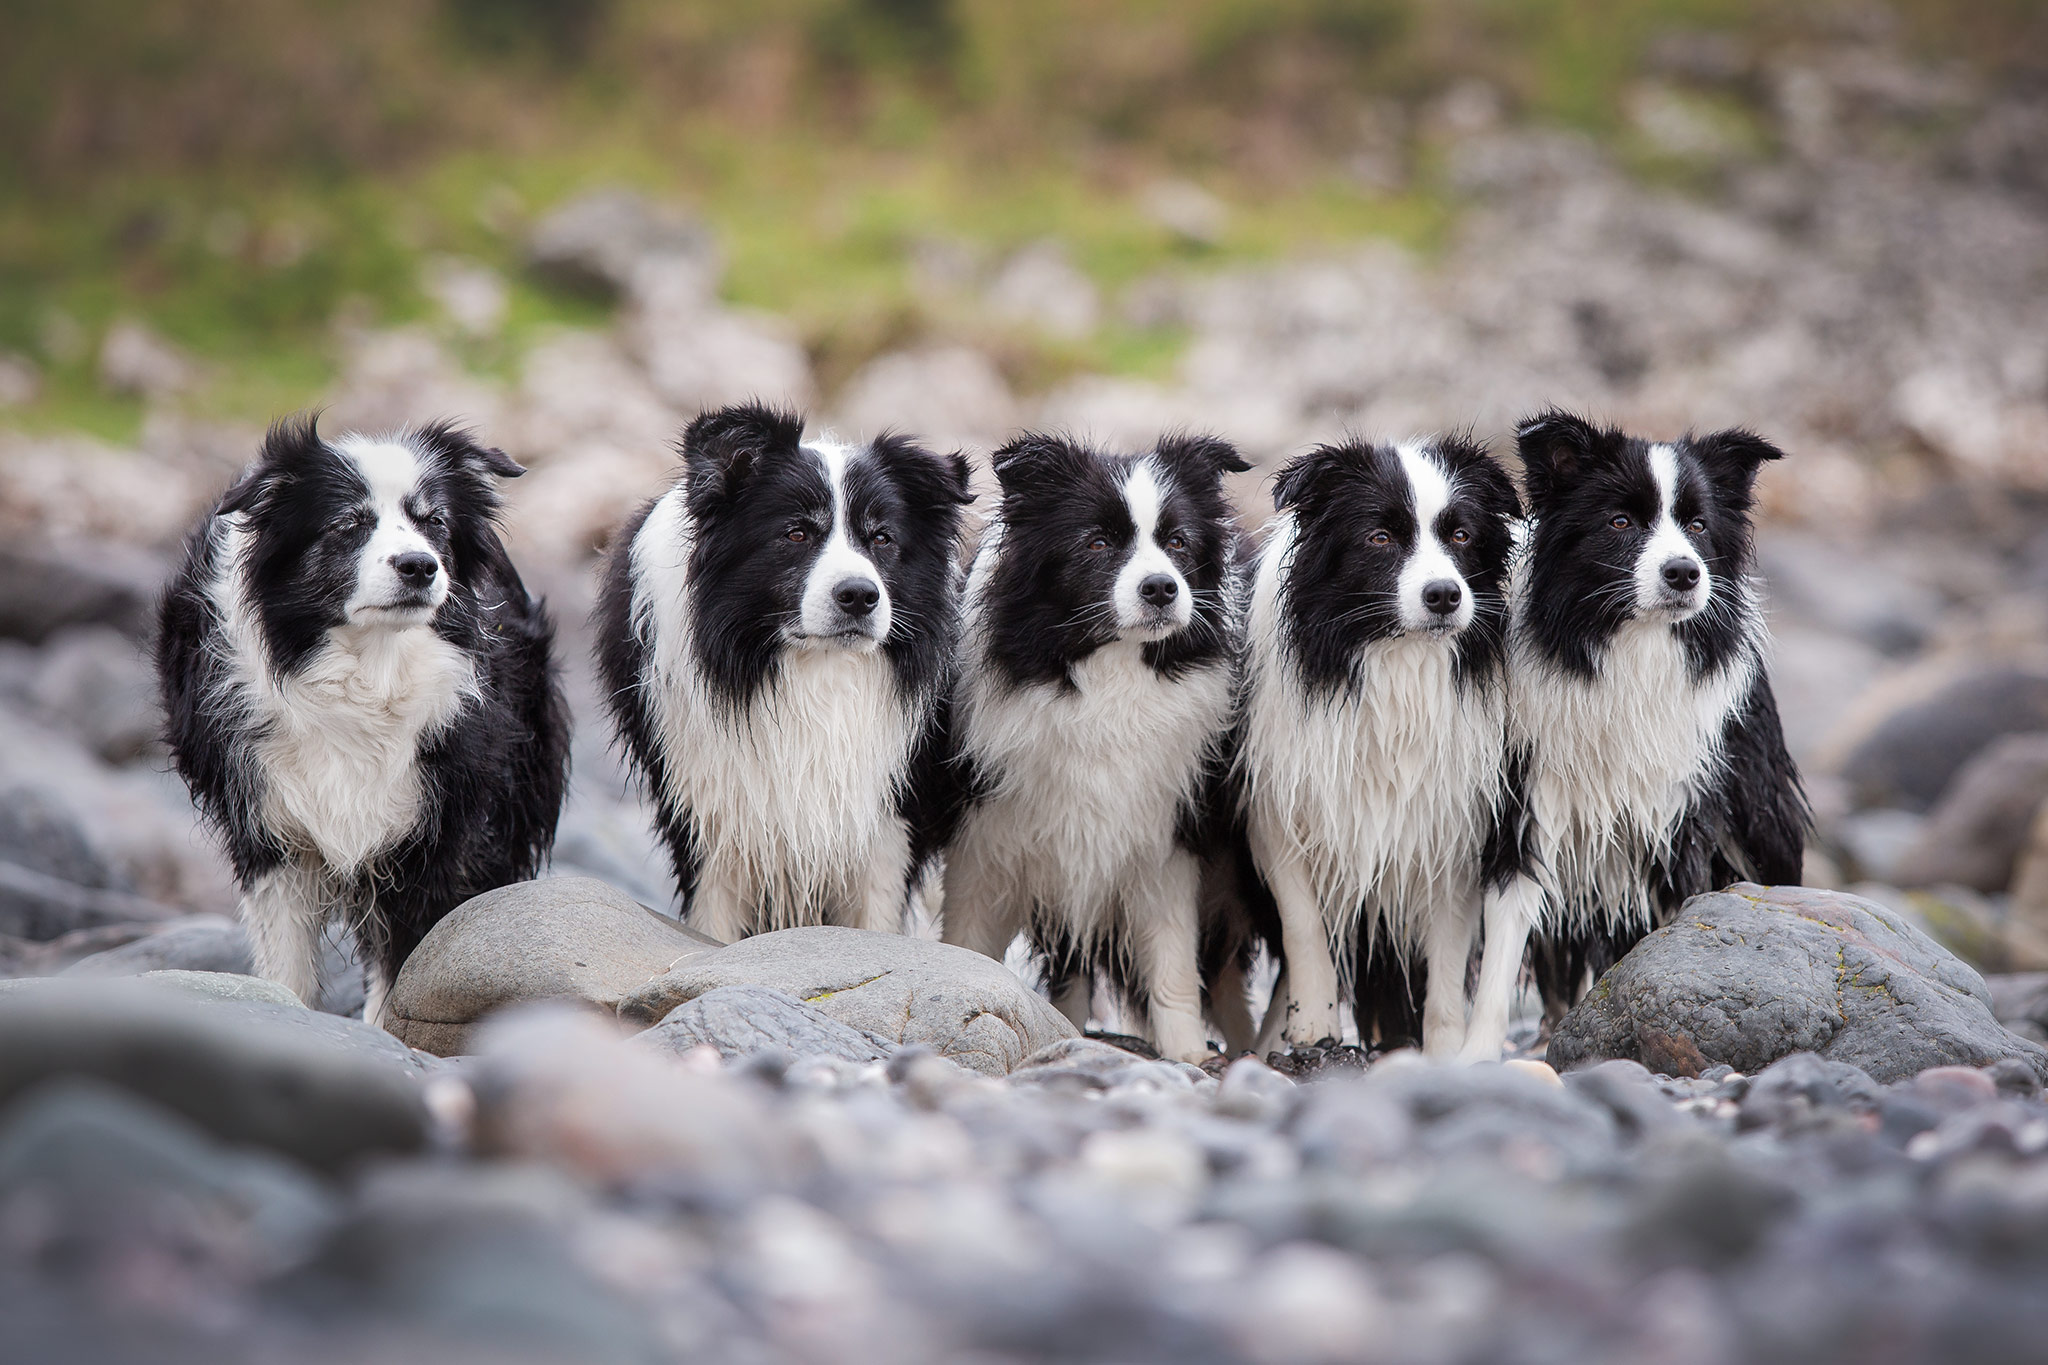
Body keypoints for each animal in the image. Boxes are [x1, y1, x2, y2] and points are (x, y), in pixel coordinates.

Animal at [155, 419, 573, 1023]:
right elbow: (287, 957)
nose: (419, 565)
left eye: (434, 522)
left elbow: (405, 960)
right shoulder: (268, 822)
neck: (366, 675)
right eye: (349, 524)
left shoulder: (434, 825)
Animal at [593, 401, 974, 945]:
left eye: (882, 538)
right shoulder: (706, 808)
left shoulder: (890, 814)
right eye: (796, 534)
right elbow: (714, 922)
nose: (860, 596)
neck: (810, 669)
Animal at [937, 431, 1253, 1064]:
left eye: (1178, 543)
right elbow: (969, 940)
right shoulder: (984, 838)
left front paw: (1189, 1054)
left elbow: (1173, 958)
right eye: (1097, 542)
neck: (1108, 674)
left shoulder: (1165, 837)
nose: (1162, 589)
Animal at [1228, 435, 1523, 1055]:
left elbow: (1446, 959)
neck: (1394, 658)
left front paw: (1443, 1050)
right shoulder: (1276, 806)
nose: (1445, 596)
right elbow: (1303, 921)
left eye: (1462, 535)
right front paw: (1313, 1019)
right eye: (1380, 537)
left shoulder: (1452, 830)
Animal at [1458, 409, 1810, 1055]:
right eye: (1620, 522)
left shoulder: (1681, 815)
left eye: (1698, 524)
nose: (1685, 573)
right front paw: (1476, 1056)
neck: (1630, 648)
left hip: (1758, 817)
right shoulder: (1526, 803)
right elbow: (1504, 940)